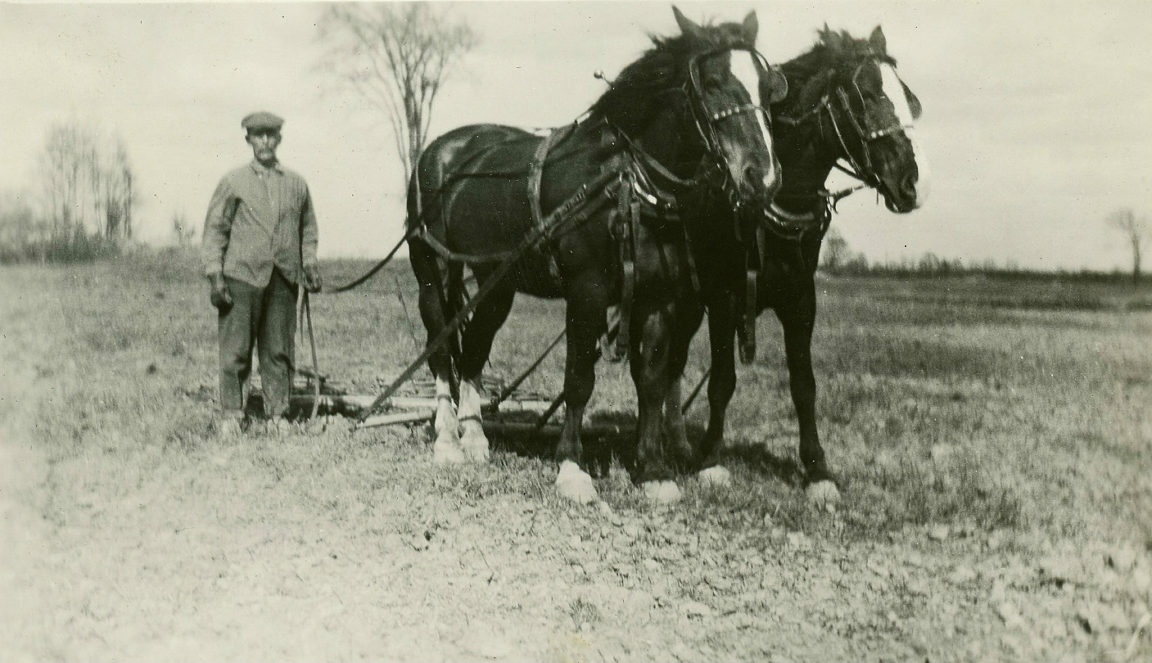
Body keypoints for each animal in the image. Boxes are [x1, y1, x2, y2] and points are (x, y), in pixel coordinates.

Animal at [404, 7, 788, 504]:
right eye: (713, 81)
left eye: (767, 86)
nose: (763, 177)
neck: (627, 182)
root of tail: (439, 149)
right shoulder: (586, 293)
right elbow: (578, 379)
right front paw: (571, 467)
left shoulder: (657, 298)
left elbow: (652, 380)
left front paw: (653, 470)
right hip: (433, 273)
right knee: (440, 345)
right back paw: (449, 440)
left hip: (496, 282)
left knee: (472, 350)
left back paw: (474, 438)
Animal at [678, 25, 928, 505]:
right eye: (864, 95)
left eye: (909, 98)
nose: (910, 185)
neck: (770, 204)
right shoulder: (725, 298)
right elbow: (721, 382)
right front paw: (711, 457)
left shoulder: (800, 299)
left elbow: (804, 386)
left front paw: (817, 468)